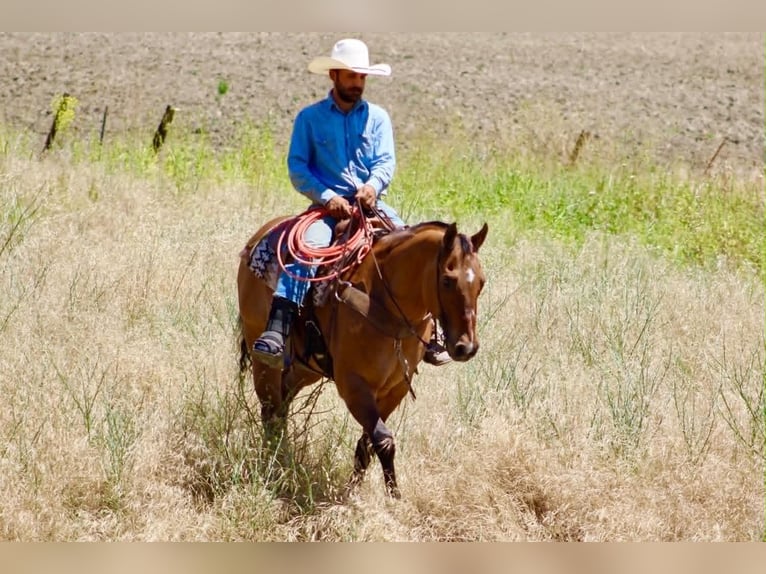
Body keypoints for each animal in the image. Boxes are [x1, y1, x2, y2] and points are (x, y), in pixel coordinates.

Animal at [236, 213, 489, 498]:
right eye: (447, 280)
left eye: (481, 282)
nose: (466, 347)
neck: (386, 304)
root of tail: (260, 236)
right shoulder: (354, 386)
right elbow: (384, 440)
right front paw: (393, 497)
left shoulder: (396, 389)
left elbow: (367, 445)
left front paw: (354, 492)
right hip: (262, 359)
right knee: (270, 410)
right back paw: (273, 464)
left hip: (305, 368)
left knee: (281, 407)